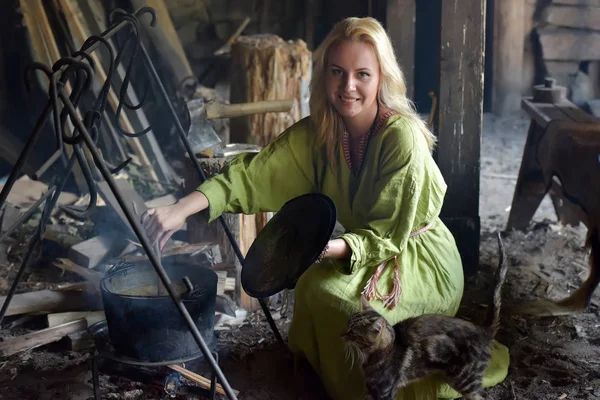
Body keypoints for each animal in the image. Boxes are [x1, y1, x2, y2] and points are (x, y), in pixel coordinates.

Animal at [342, 231, 506, 400]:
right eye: (347, 326)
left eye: (354, 333)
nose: (342, 335)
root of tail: (483, 330)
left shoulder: (384, 391)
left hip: (464, 380)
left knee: (483, 396)